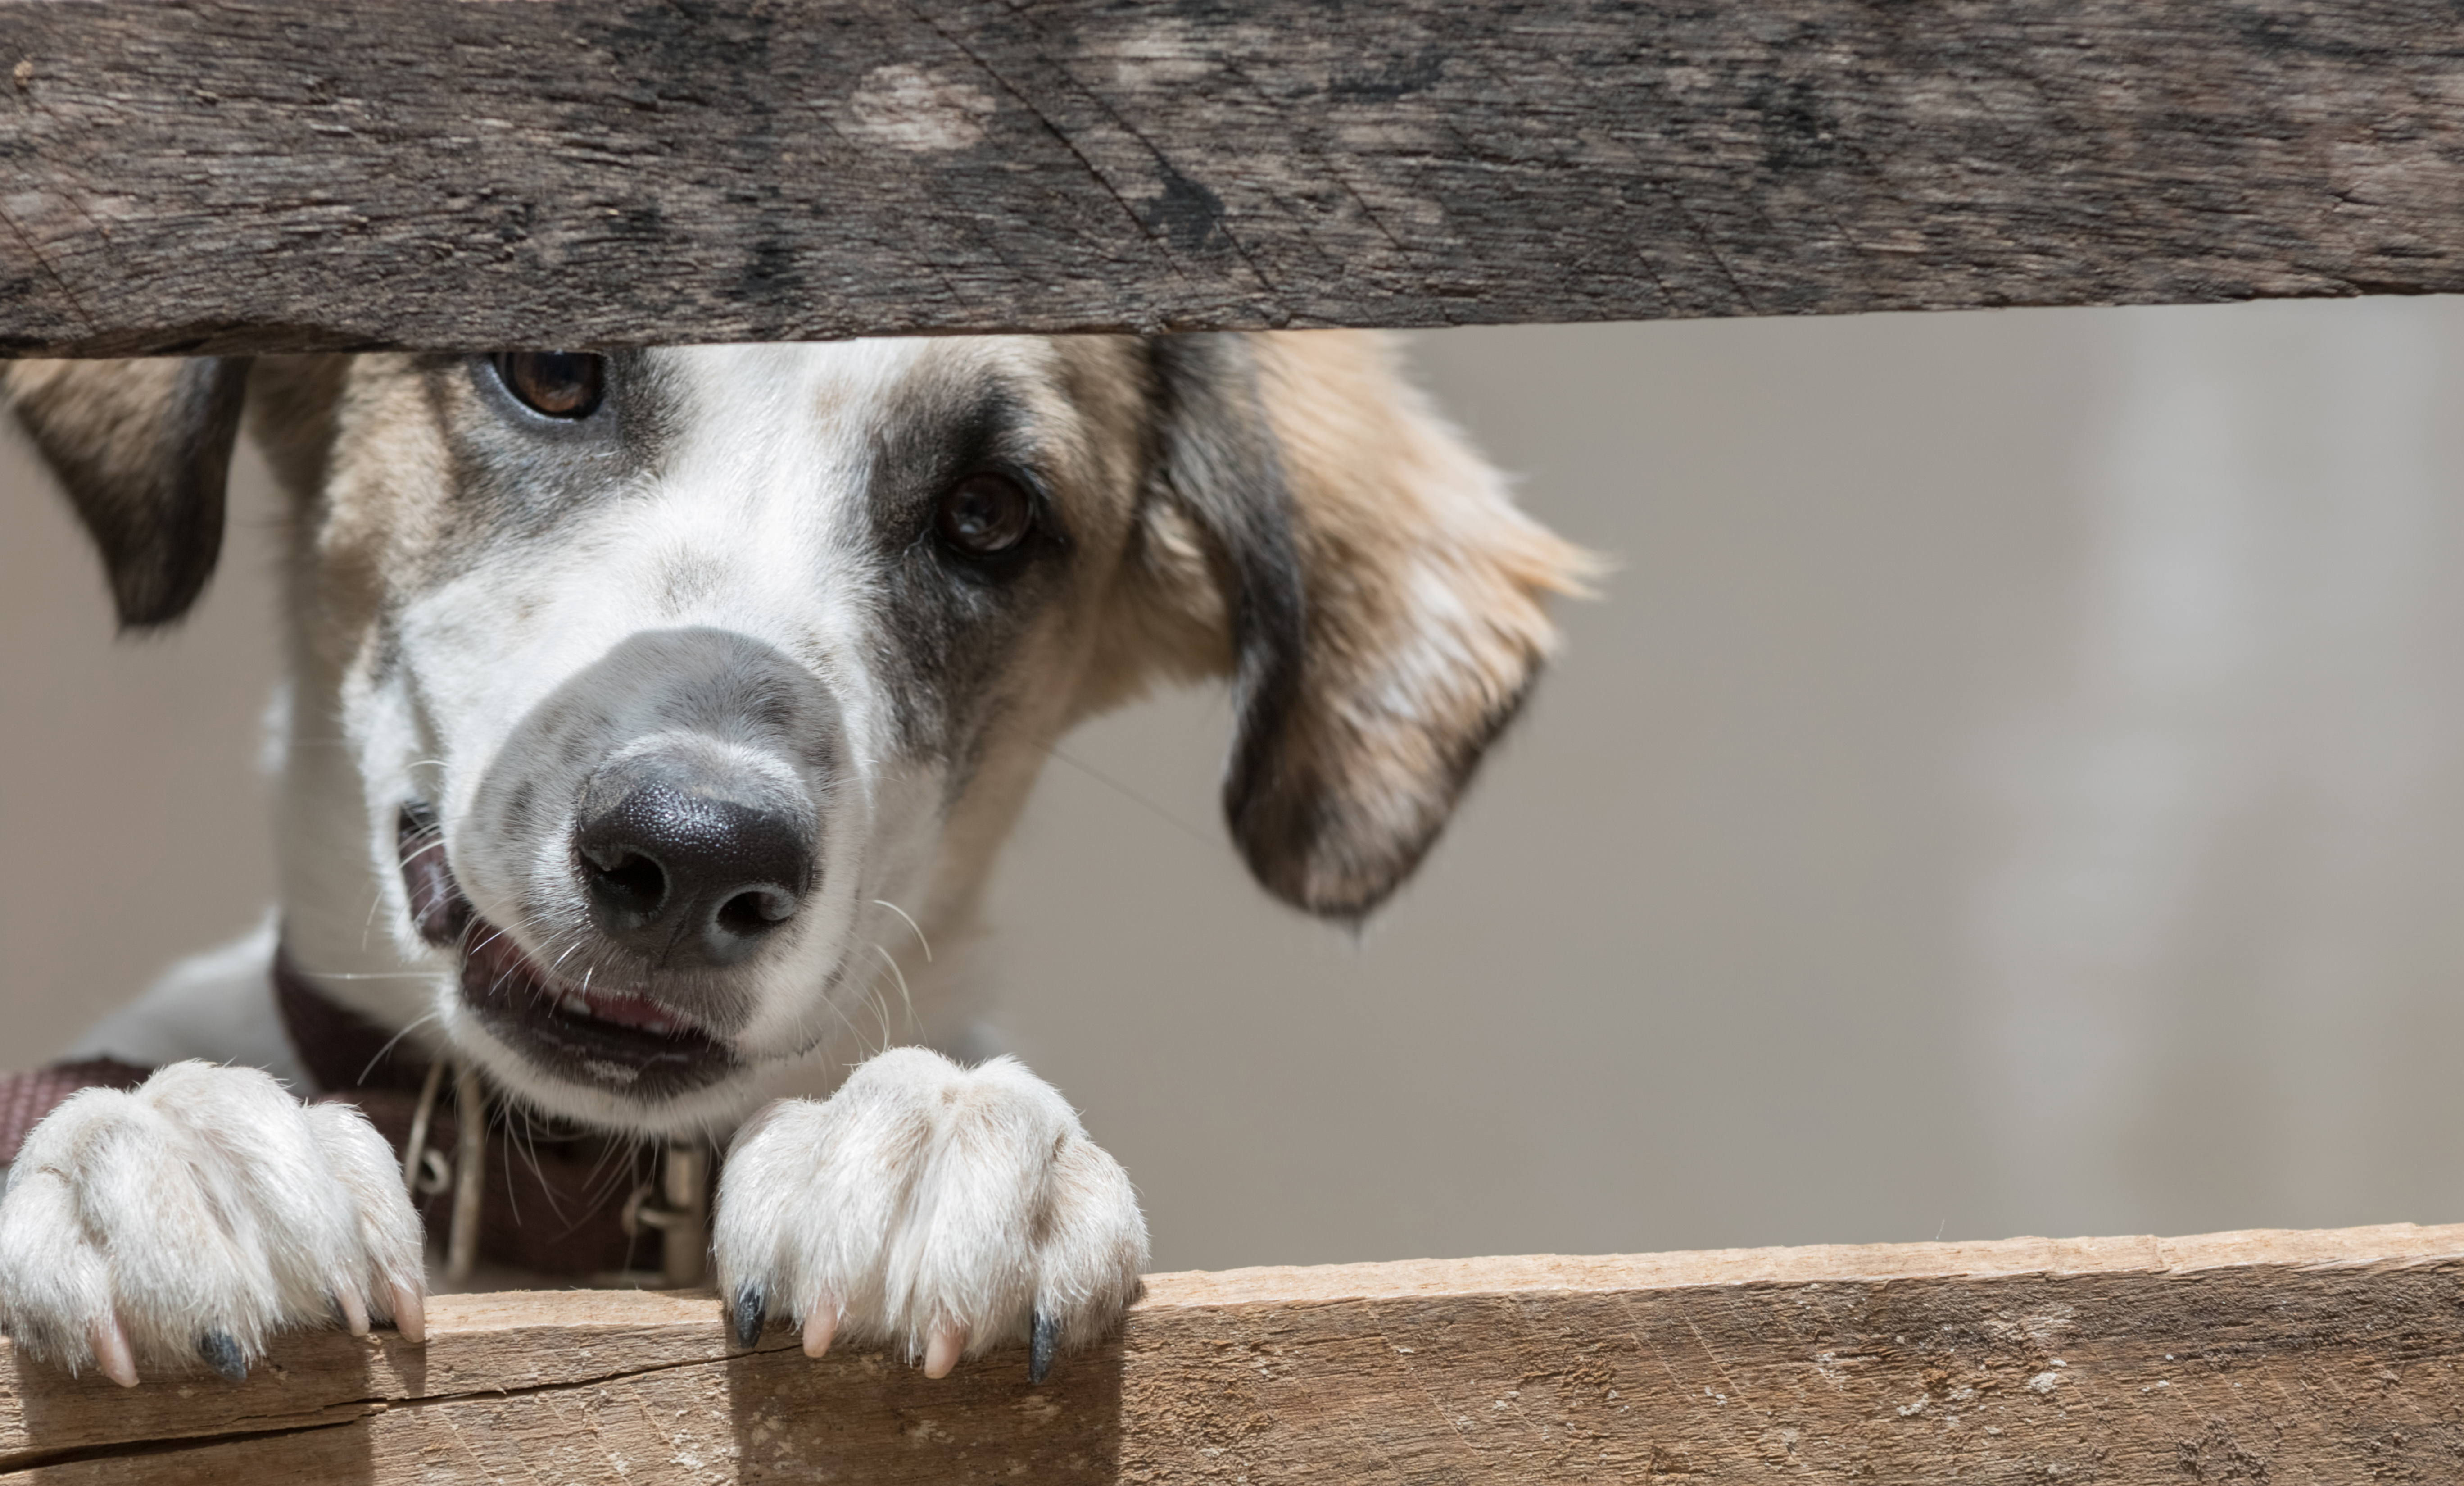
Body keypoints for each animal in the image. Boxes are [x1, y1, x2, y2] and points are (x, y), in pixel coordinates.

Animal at [0, 337, 1586, 1400]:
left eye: (990, 514)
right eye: (553, 370)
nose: (696, 855)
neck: (571, 1197)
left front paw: (925, 1141)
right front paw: (171, 1145)